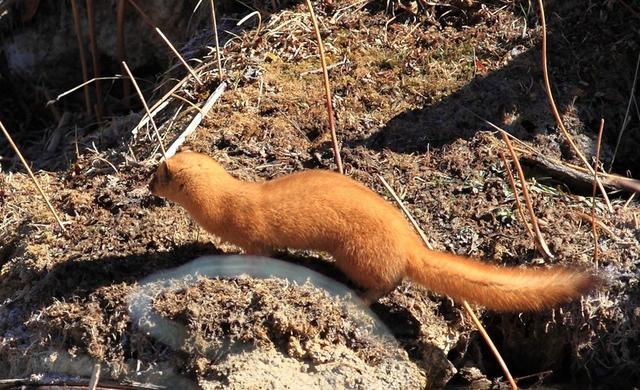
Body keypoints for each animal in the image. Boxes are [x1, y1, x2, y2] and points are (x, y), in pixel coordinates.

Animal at [150, 151, 600, 312]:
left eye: (155, 174)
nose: (145, 184)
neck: (229, 200)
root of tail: (409, 244)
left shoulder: (254, 235)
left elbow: (258, 253)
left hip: (357, 254)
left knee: (387, 281)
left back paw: (359, 296)